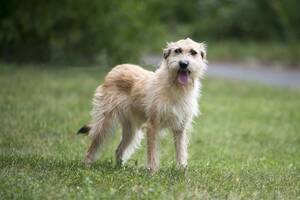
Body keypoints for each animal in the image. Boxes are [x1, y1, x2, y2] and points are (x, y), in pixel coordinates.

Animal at [78, 38, 206, 171]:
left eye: (193, 52)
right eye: (177, 50)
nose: (183, 64)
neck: (176, 87)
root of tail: (116, 68)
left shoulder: (180, 128)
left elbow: (181, 150)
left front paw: (182, 170)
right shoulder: (153, 126)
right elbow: (153, 153)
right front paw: (152, 171)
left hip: (131, 130)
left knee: (119, 150)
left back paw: (120, 169)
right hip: (104, 123)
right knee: (93, 145)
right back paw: (87, 164)